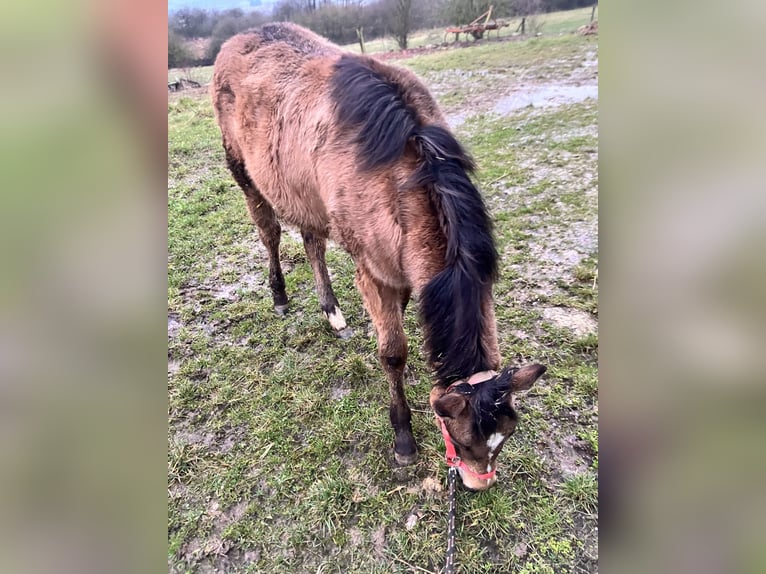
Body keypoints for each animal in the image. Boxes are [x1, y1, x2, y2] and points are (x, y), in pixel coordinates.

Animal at [211, 23, 545, 491]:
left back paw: (332, 312)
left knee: (312, 242)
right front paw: (403, 438)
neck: (403, 170)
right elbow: (393, 352)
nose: (478, 484)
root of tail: (238, 38)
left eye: (507, 434)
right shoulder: (373, 269)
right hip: (242, 168)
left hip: (306, 194)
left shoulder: (400, 267)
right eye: (458, 436)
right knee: (269, 231)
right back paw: (278, 295)